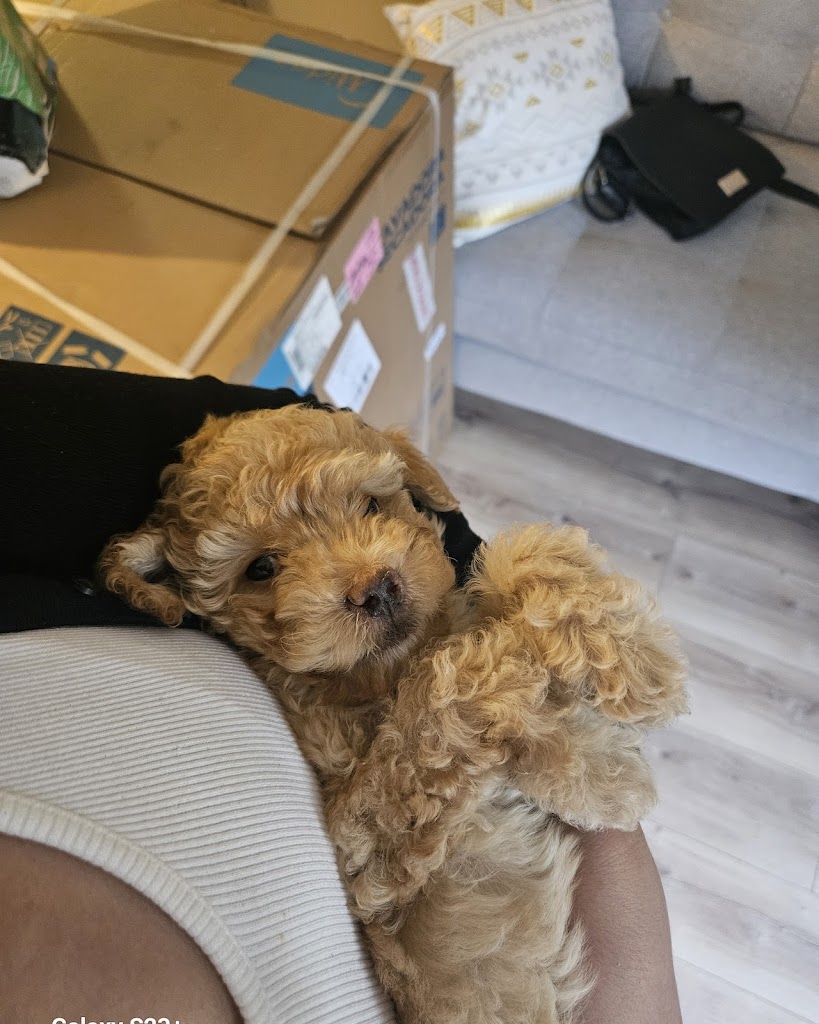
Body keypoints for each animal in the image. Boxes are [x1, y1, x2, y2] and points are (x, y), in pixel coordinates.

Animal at [100, 405, 687, 1024]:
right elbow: (440, 688)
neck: (378, 674)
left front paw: (633, 665)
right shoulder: (365, 849)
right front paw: (608, 771)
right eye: (261, 568)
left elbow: (521, 559)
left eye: (372, 506)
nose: (376, 588)